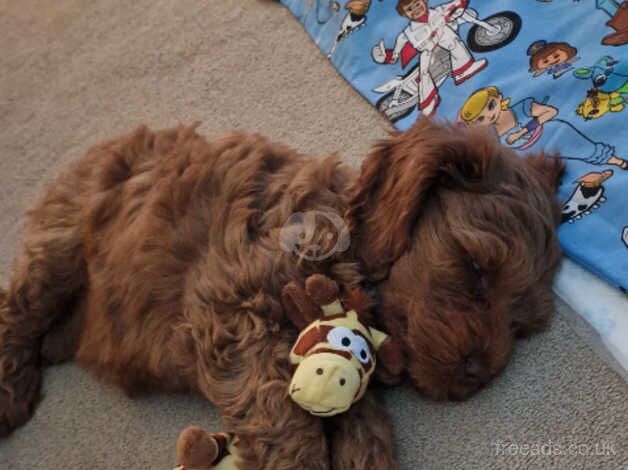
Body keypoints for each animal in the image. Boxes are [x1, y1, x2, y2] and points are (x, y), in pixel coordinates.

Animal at [0, 117, 560, 466]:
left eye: (521, 325)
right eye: (476, 268)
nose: (479, 374)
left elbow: (360, 421)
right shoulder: (233, 312)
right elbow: (283, 419)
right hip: (62, 242)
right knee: (19, 308)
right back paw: (11, 391)